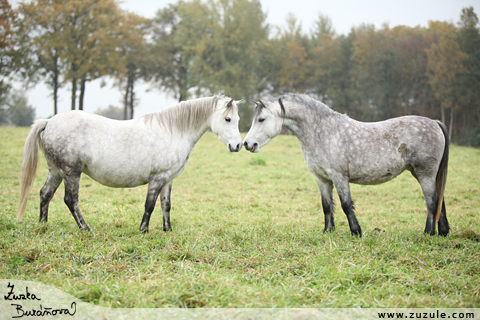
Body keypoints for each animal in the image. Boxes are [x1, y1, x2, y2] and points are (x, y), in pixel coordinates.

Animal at [17, 95, 244, 232]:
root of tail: (49, 121)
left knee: (45, 194)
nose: (237, 145)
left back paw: (43, 225)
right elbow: (150, 205)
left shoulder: (168, 180)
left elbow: (166, 205)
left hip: (56, 171)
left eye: (238, 119)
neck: (174, 130)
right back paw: (85, 228)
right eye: (228, 119)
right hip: (71, 172)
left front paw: (167, 230)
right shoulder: (157, 178)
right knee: (70, 200)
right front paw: (144, 230)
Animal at [244, 94, 450, 236]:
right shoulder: (322, 179)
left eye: (261, 119)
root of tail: (435, 123)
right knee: (440, 199)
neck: (321, 131)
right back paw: (443, 232)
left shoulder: (339, 177)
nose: (247, 144)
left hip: (425, 173)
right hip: (423, 173)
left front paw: (356, 232)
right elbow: (327, 205)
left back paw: (428, 233)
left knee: (432, 201)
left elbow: (345, 204)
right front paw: (328, 231)